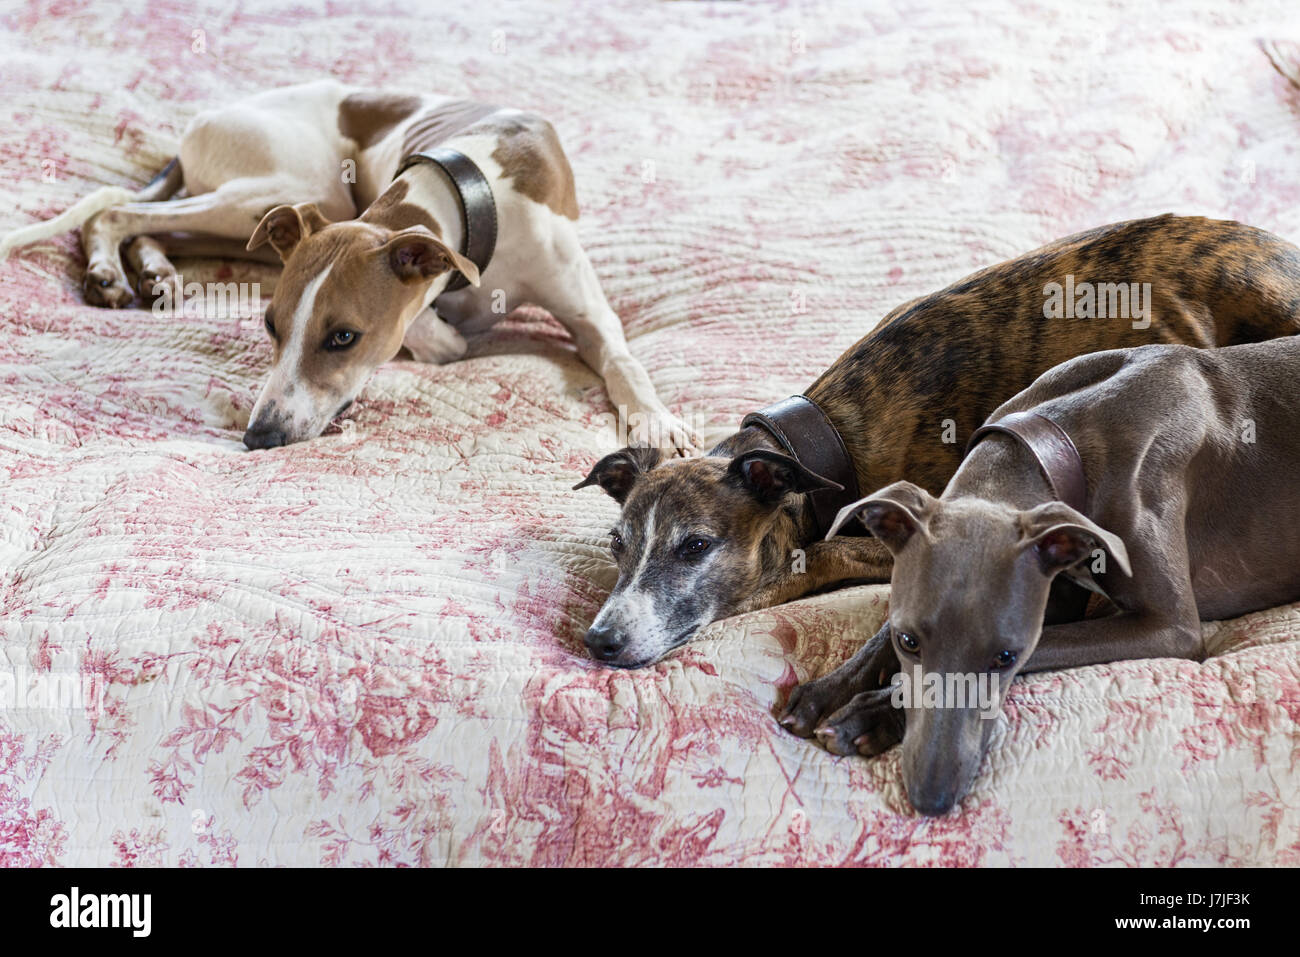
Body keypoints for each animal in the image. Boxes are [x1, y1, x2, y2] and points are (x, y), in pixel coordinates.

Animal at [2, 80, 702, 449]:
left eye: (343, 338)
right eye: (270, 326)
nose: (258, 437)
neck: (472, 192)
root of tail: (200, 123)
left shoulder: (590, 311)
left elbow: (623, 359)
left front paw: (657, 422)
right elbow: (437, 337)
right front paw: (443, 332)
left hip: (273, 205)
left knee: (148, 221)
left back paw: (150, 273)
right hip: (282, 193)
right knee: (113, 209)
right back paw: (112, 271)